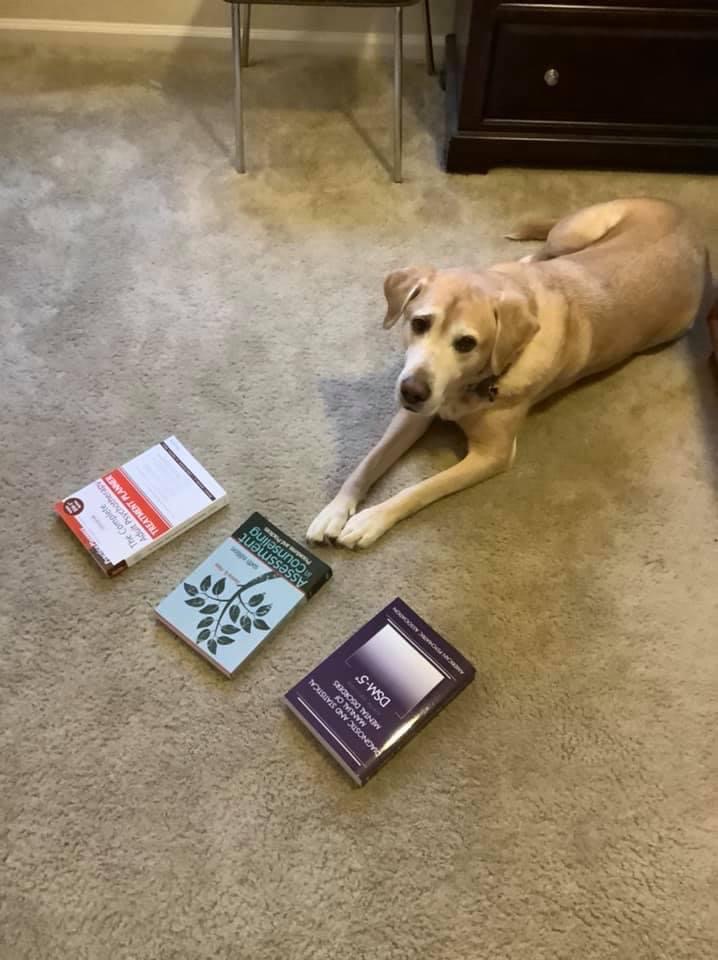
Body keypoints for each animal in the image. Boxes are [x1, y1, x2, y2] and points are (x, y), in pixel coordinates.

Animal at [306, 197, 712, 548]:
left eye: (466, 343)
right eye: (419, 323)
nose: (412, 391)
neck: (466, 388)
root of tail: (687, 217)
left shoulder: (493, 455)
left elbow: (418, 490)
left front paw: (371, 520)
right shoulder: (414, 415)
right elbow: (369, 461)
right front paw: (335, 510)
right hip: (574, 234)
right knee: (543, 252)